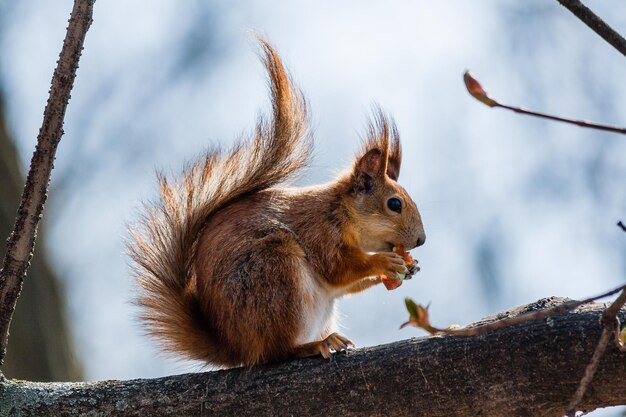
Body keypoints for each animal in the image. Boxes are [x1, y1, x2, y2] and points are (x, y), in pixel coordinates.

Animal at [128, 37, 424, 366]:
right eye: (395, 205)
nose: (421, 240)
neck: (340, 212)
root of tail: (237, 348)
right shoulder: (319, 232)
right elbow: (337, 269)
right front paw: (384, 262)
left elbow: (346, 285)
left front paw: (407, 268)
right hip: (275, 276)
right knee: (276, 351)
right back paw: (313, 345)